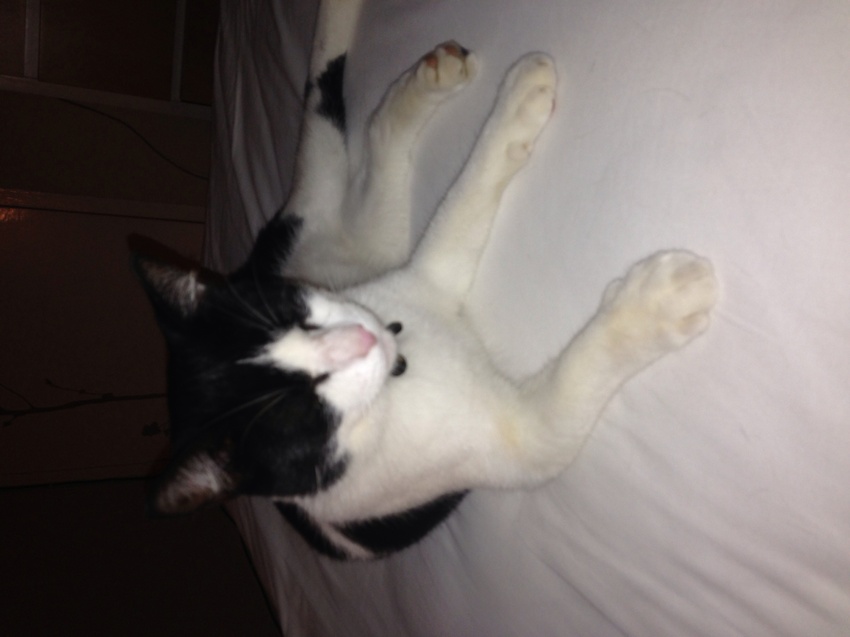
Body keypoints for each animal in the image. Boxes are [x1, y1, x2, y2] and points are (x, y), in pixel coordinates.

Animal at [134, 0, 718, 560]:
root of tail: (268, 246)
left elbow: (464, 194)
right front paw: (662, 300)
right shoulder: (526, 438)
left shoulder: (425, 273)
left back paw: (426, 80)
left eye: (295, 315)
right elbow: (580, 372)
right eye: (304, 412)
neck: (400, 369)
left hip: (362, 236)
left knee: (358, 129)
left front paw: (516, 105)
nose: (363, 339)